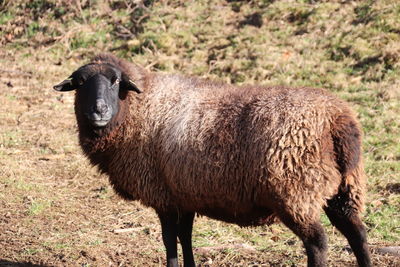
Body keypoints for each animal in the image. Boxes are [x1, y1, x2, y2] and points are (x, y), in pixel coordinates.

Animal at [53, 54, 372, 267]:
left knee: (317, 242)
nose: (99, 111)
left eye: (116, 81)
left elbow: (169, 239)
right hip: (346, 189)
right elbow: (185, 236)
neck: (138, 107)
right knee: (357, 233)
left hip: (295, 192)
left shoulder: (162, 194)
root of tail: (337, 119)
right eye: (79, 84)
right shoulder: (183, 194)